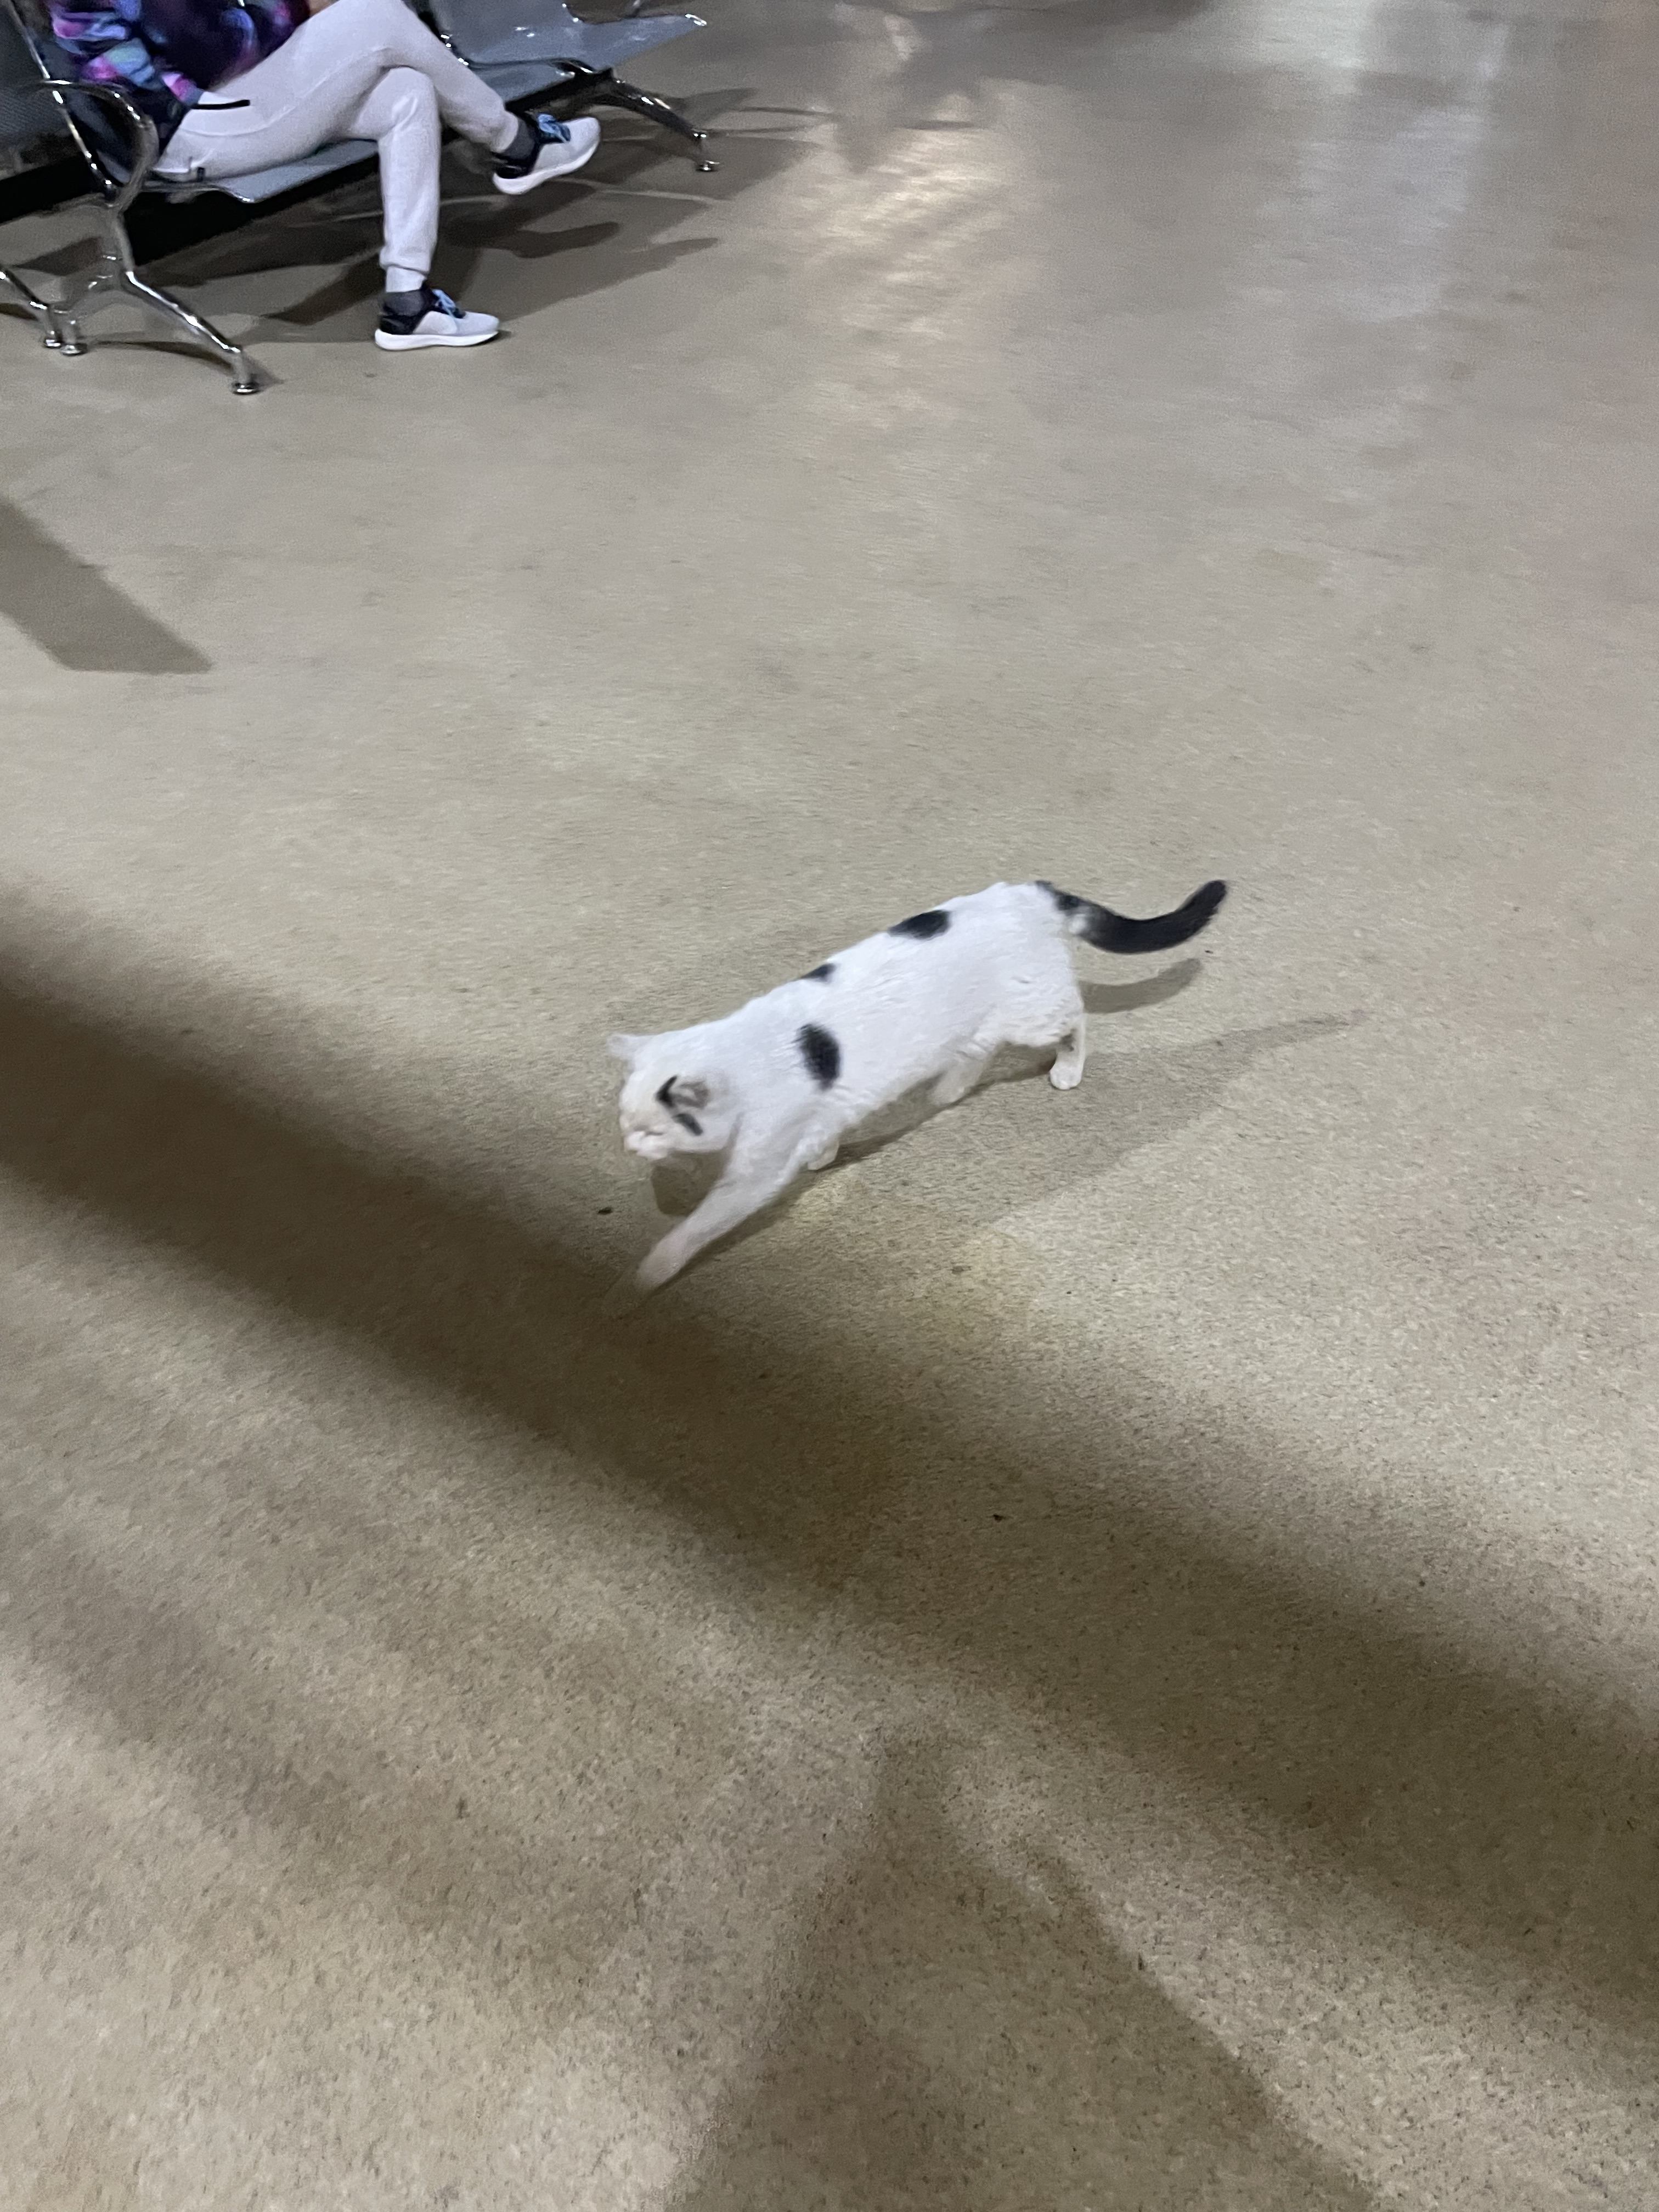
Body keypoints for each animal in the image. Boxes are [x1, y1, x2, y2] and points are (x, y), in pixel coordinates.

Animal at [607, 875, 1226, 1298]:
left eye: (653, 1132)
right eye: (625, 1124)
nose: (631, 1148)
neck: (744, 1053)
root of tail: (1033, 894)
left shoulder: (754, 1174)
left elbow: (699, 1225)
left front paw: (653, 1269)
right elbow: (827, 1128)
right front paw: (824, 1152)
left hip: (1036, 1012)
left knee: (1076, 1017)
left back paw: (1067, 1070)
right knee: (980, 1047)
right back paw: (949, 1088)